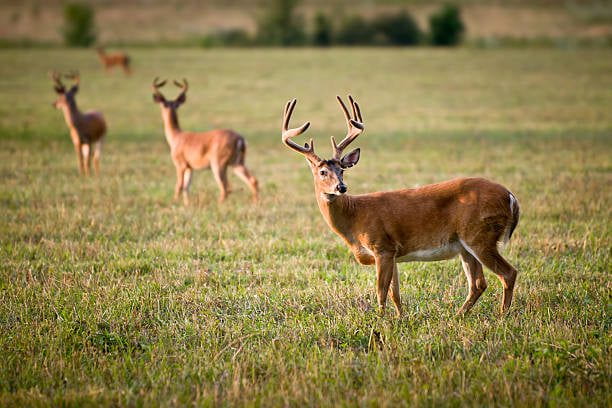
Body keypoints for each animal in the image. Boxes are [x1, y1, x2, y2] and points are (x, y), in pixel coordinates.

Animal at [280, 97, 520, 318]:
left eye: (342, 170)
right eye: (322, 172)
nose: (341, 187)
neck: (354, 216)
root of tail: (511, 196)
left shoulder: (382, 246)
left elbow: (381, 292)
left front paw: (379, 321)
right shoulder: (393, 252)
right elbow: (395, 293)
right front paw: (400, 318)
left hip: (480, 235)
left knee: (508, 273)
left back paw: (502, 317)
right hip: (465, 245)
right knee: (478, 283)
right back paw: (458, 316)